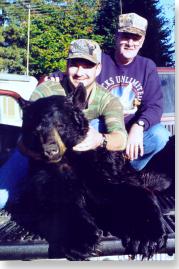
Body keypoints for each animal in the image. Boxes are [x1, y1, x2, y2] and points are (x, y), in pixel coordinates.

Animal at [1, 86, 173, 260]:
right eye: (36, 130)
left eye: (61, 125)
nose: (50, 151)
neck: (70, 158)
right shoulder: (46, 174)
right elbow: (55, 200)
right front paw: (82, 241)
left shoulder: (99, 168)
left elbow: (127, 191)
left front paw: (147, 237)